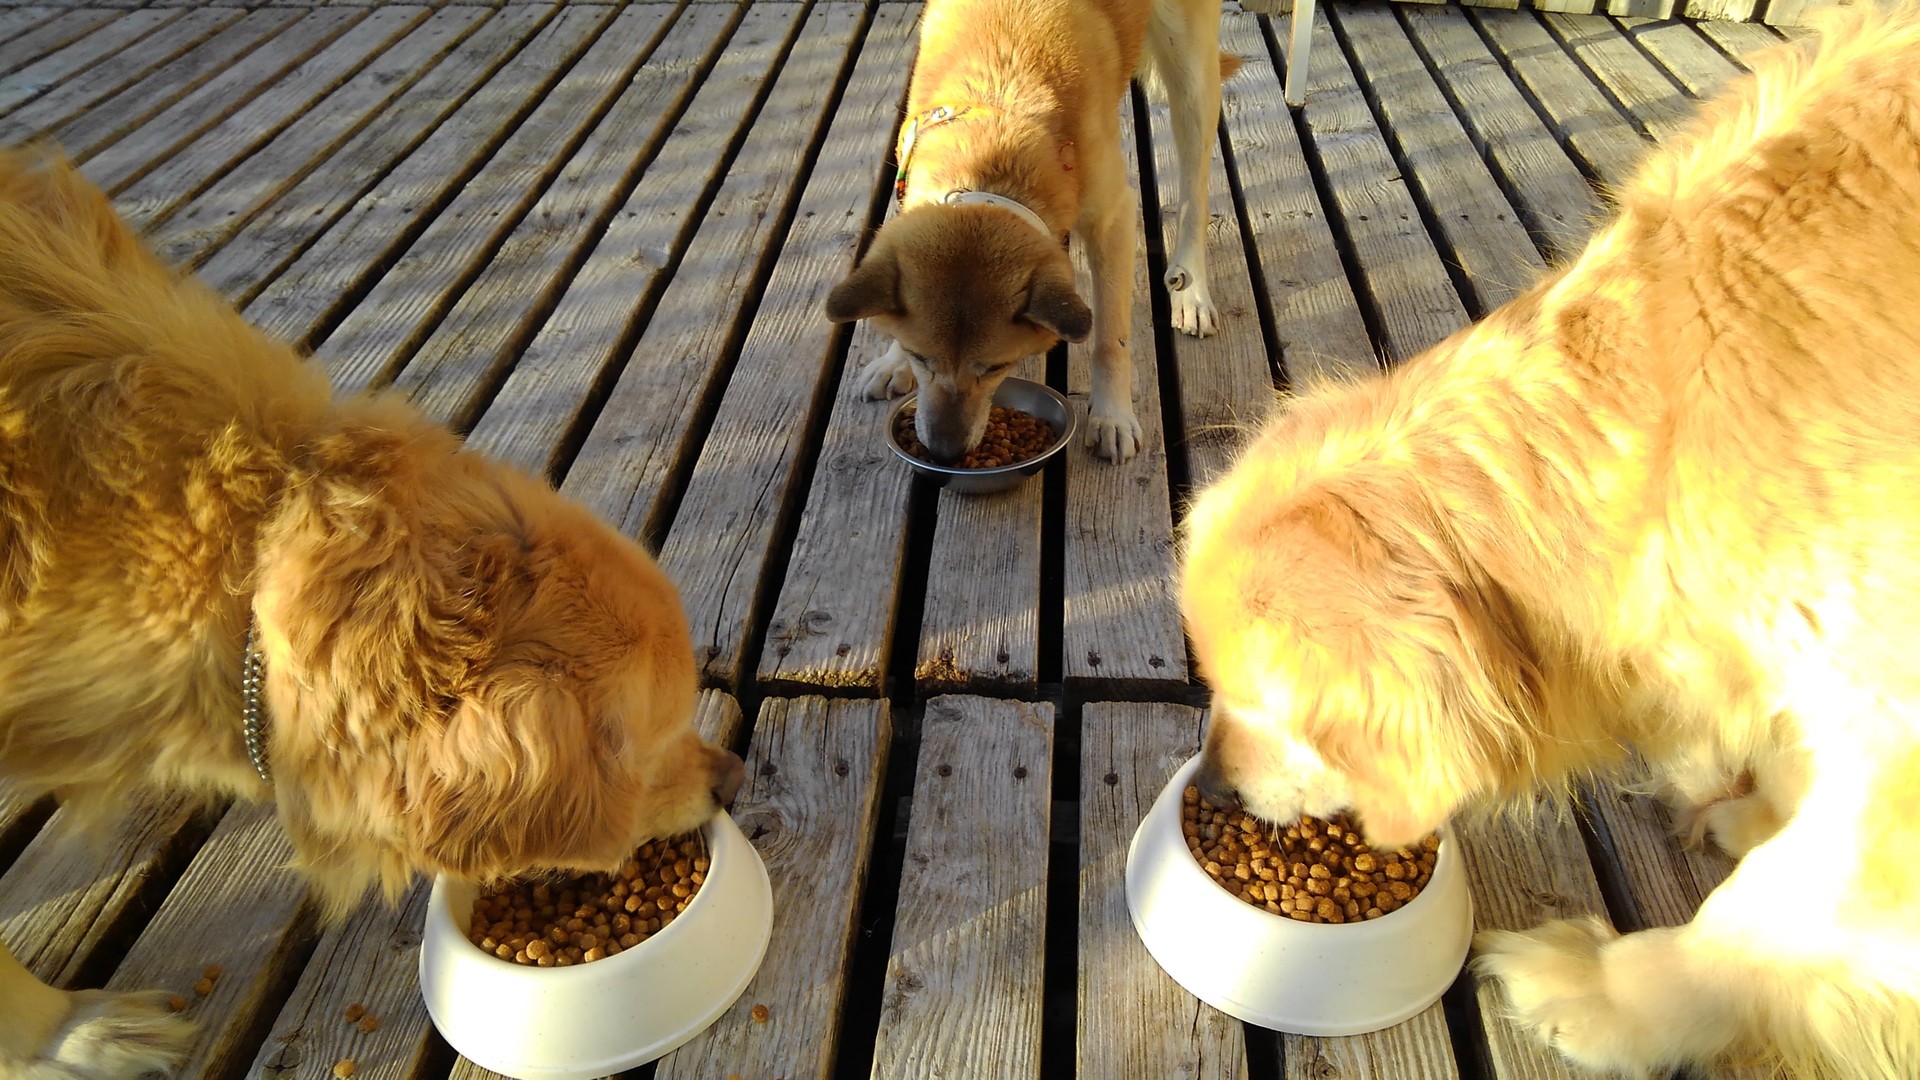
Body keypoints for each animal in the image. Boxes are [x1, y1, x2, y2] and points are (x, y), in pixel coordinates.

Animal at [823, 0, 1234, 464]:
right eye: (919, 357)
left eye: (996, 368)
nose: (945, 454)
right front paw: (892, 360)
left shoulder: (1113, 219)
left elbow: (1110, 339)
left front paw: (1111, 416)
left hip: (1191, 75)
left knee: (1194, 192)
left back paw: (1192, 291)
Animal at [1178, 7, 1920, 1077]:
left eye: (1277, 707)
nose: (1213, 788)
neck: (1654, 435)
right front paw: (1757, 812)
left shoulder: (1894, 735)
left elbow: (1771, 911)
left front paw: (1609, 997)